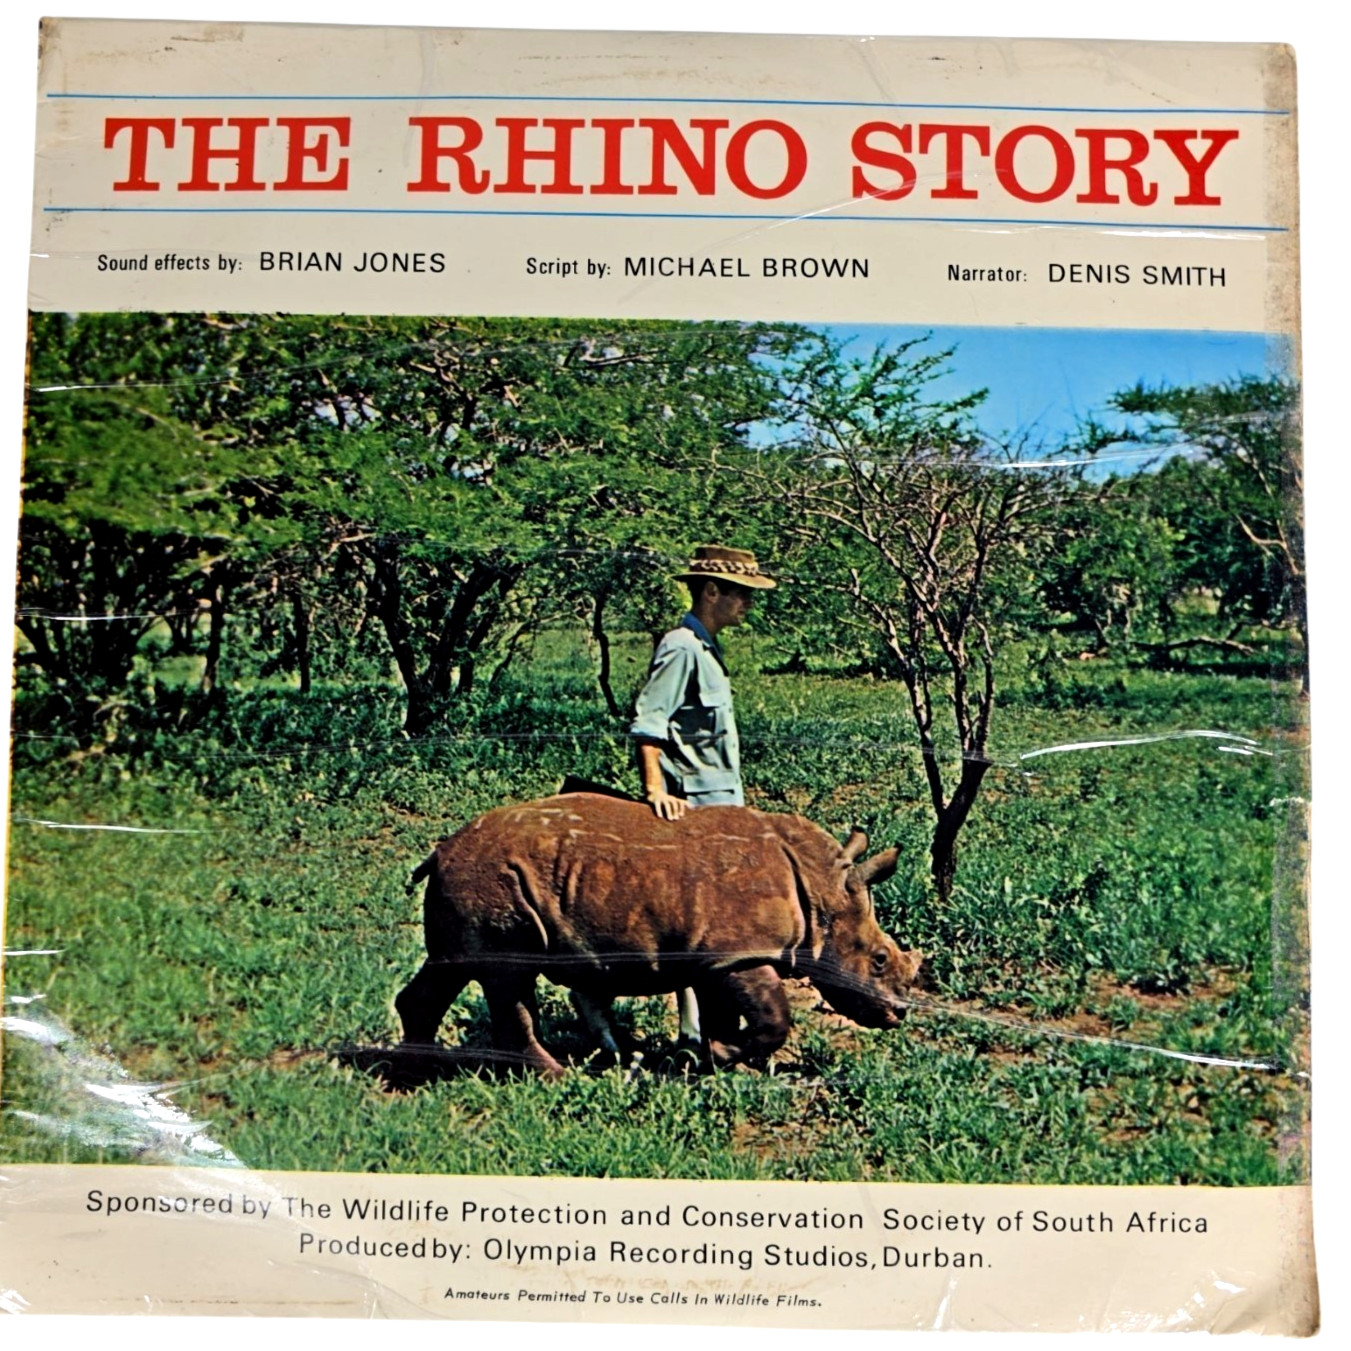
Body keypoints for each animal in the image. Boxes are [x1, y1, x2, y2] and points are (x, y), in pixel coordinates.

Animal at [395, 793, 921, 1075]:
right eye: (879, 960)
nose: (897, 1013)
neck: (821, 889)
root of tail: (441, 851)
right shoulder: (743, 951)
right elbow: (774, 1017)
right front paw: (724, 1055)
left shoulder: (718, 955)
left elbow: (723, 1012)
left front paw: (717, 1059)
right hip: (492, 878)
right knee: (507, 977)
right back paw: (556, 1077)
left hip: (470, 878)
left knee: (453, 969)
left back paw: (416, 1071)